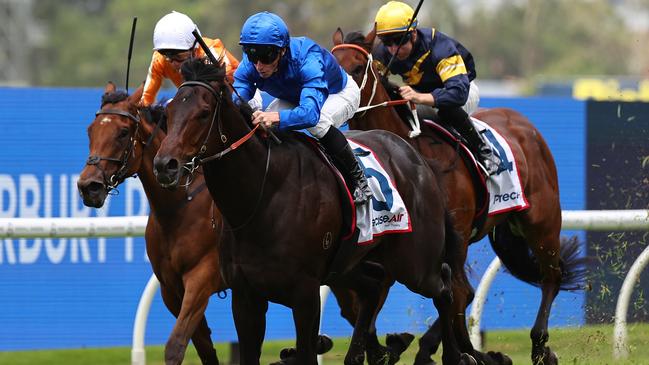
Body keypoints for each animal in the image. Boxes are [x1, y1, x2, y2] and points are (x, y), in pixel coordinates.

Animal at [77, 82, 225, 364]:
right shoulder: (171, 289)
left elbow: (176, 344)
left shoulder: (202, 277)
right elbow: (204, 347)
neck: (179, 207)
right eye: (90, 130)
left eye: (123, 132)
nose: (88, 186)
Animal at [153, 59, 470, 364]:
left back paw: (456, 355)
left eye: (204, 112)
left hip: (414, 264)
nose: (165, 165)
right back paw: (361, 356)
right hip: (348, 265)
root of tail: (417, 159)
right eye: (168, 113)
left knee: (445, 287)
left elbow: (306, 353)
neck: (263, 196)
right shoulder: (244, 296)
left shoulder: (305, 294)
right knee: (374, 285)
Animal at [334, 28, 588, 364]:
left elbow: (452, 293)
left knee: (550, 277)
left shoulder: (448, 235)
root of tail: (524, 124)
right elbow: (364, 303)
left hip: (541, 220)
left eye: (356, 68)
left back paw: (538, 347)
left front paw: (461, 353)